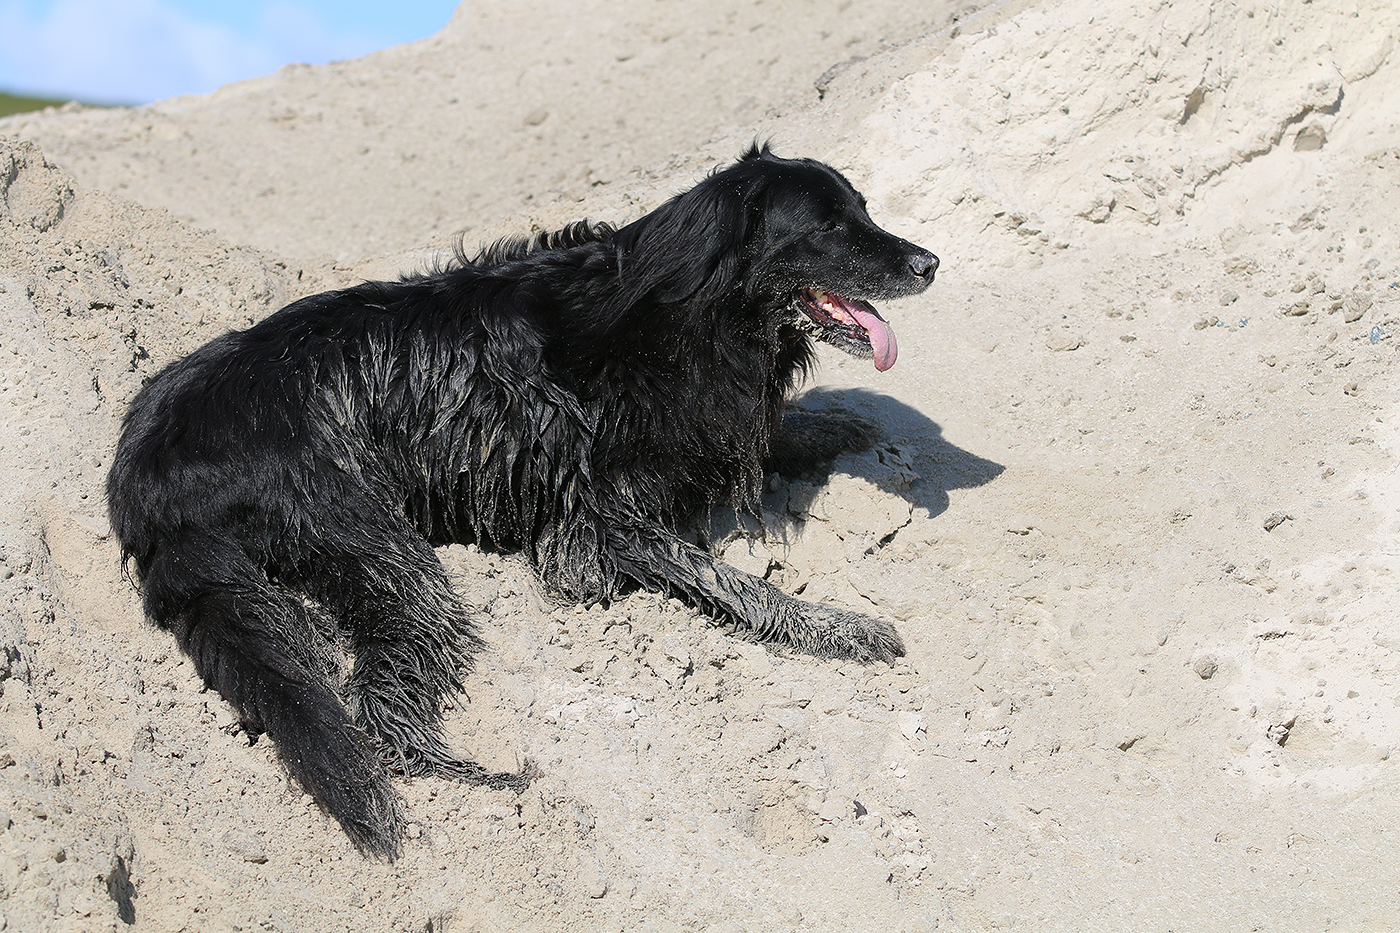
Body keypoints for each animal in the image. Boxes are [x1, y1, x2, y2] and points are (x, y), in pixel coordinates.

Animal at [107, 144, 938, 859]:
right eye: (829, 225)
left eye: (864, 210)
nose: (930, 262)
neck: (689, 313)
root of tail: (138, 475)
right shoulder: (596, 528)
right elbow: (735, 584)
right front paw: (844, 627)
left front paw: (837, 425)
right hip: (382, 548)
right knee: (375, 710)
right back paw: (467, 773)